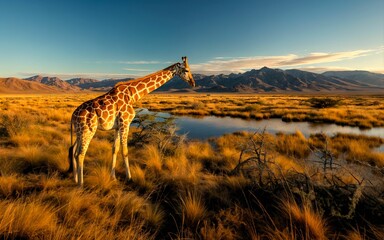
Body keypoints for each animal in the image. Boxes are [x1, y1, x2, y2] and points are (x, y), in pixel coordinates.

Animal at [67, 56, 195, 186]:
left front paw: (113, 177)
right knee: (80, 154)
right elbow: (125, 151)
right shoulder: (125, 122)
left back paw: (75, 179)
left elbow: (115, 149)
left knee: (74, 151)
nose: (193, 83)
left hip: (80, 131)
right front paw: (129, 177)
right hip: (88, 130)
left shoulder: (117, 126)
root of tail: (73, 115)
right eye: (186, 70)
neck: (133, 95)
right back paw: (81, 184)